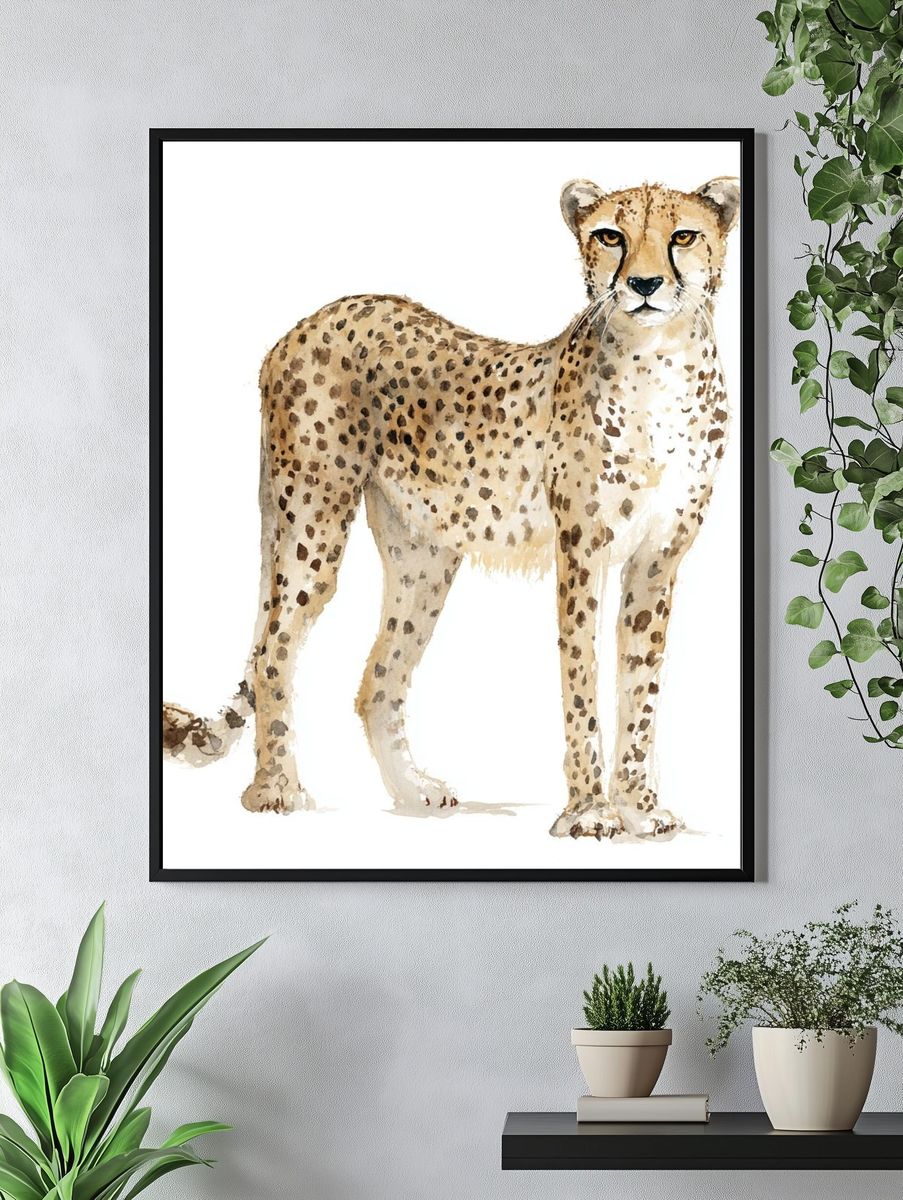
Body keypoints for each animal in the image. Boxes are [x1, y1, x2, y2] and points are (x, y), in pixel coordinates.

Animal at [162, 174, 740, 840]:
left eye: (684, 236)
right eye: (611, 236)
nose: (644, 285)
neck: (659, 364)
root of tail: (308, 323)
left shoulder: (658, 559)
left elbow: (641, 688)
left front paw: (641, 808)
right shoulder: (582, 554)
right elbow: (583, 684)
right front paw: (591, 812)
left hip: (424, 558)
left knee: (377, 680)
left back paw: (413, 792)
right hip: (312, 523)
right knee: (274, 652)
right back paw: (275, 789)